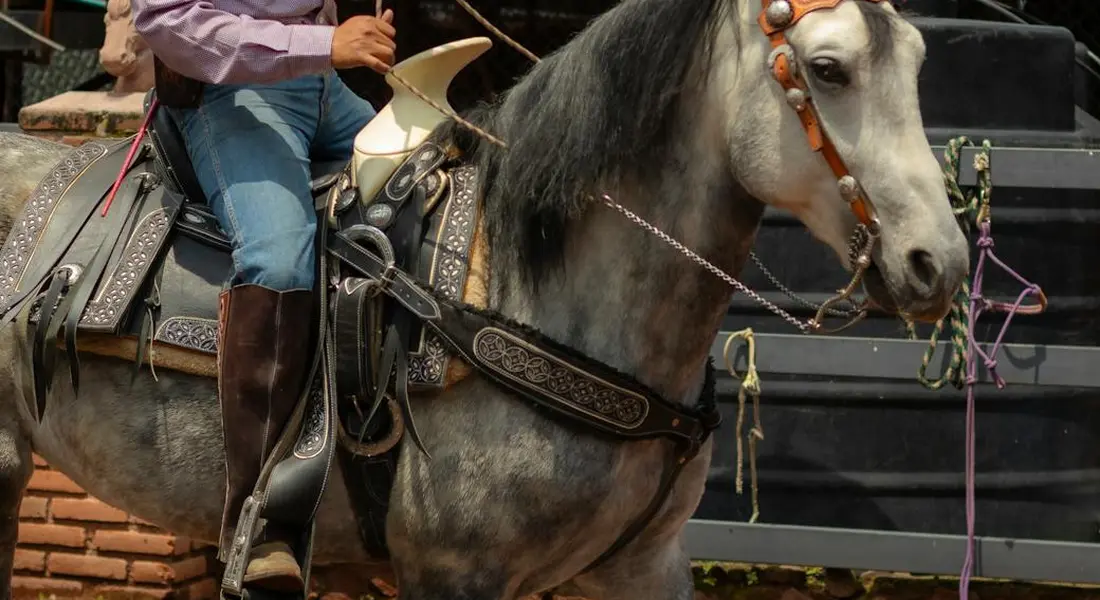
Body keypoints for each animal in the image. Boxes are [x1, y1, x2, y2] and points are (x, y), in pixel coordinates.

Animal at [0, 0, 969, 598]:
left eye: (922, 60)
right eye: (828, 69)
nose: (941, 263)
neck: (529, 288)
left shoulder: (643, 565)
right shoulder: (455, 571)